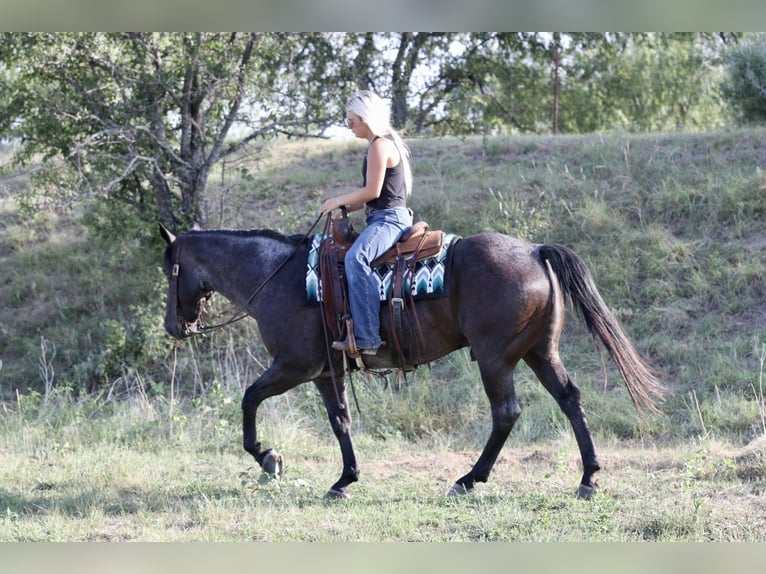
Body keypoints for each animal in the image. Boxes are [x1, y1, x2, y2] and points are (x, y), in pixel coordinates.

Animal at [159, 221, 665, 499]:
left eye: (170, 269)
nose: (172, 326)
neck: (279, 277)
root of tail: (534, 250)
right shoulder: (325, 371)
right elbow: (340, 420)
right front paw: (345, 478)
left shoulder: (294, 366)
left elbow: (248, 399)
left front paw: (268, 458)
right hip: (540, 352)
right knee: (570, 399)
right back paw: (588, 477)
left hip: (495, 357)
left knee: (506, 413)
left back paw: (469, 478)